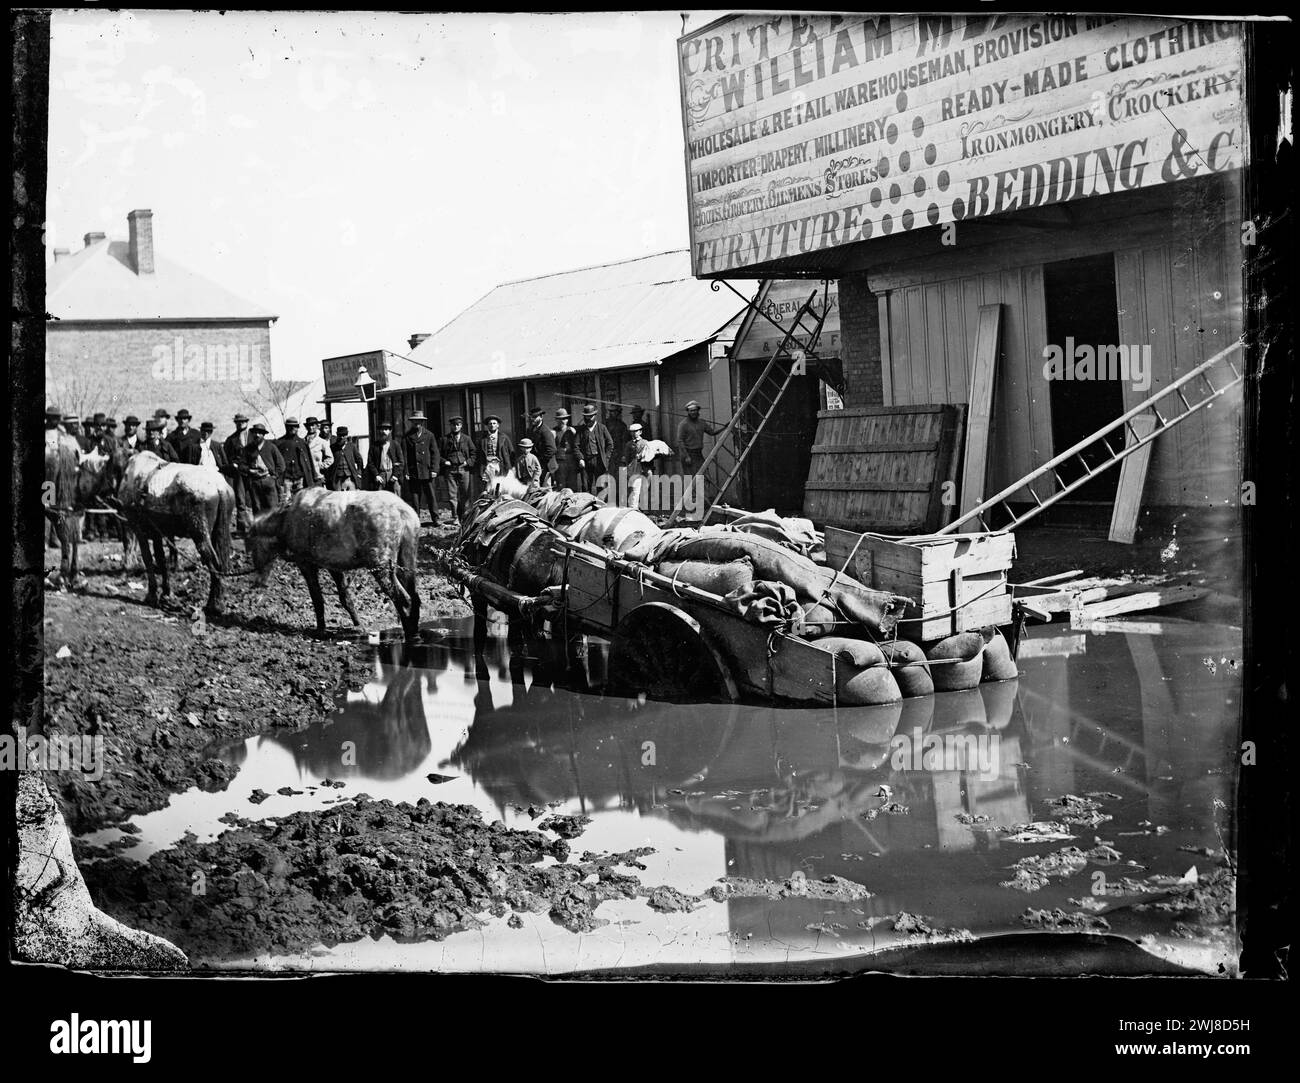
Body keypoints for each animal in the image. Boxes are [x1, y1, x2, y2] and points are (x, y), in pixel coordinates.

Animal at [115, 449, 236, 616]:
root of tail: (220, 487)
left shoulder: (139, 529)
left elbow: (148, 559)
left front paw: (152, 595)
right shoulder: (158, 532)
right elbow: (161, 560)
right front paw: (166, 593)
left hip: (199, 532)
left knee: (215, 563)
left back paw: (214, 605)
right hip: (220, 530)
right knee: (223, 563)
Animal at [244, 486, 421, 637]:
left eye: (252, 545)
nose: (257, 581)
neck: (283, 522)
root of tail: (403, 510)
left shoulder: (305, 563)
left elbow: (317, 598)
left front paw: (320, 629)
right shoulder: (333, 566)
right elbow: (345, 597)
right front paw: (357, 624)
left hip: (380, 566)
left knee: (403, 599)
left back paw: (410, 633)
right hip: (406, 559)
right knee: (415, 598)